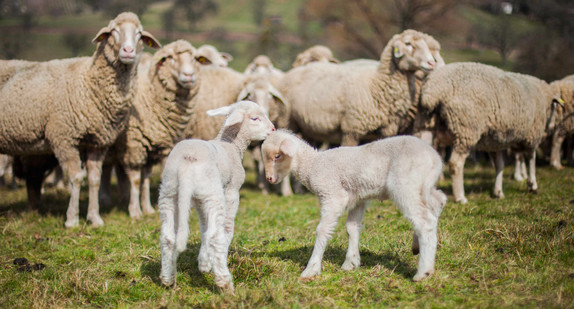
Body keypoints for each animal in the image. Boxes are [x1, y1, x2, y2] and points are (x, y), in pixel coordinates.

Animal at [0, 12, 161, 226]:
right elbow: (76, 177)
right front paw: (72, 219)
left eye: (139, 33)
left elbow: (94, 179)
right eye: (113, 31)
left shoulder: (98, 142)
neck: (88, 82)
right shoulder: (63, 138)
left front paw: (94, 218)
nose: (128, 51)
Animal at [104, 39, 202, 218]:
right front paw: (135, 211)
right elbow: (136, 179)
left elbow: (146, 178)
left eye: (194, 59)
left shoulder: (152, 147)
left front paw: (148, 208)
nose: (189, 75)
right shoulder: (134, 144)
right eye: (170, 58)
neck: (151, 96)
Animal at [264, 130, 448, 282]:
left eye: (277, 156)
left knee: (425, 221)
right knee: (438, 202)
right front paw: (350, 263)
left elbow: (322, 230)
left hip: (404, 184)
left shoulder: (333, 195)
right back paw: (418, 246)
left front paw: (311, 269)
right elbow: (352, 227)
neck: (312, 164)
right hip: (422, 186)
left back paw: (423, 272)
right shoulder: (358, 197)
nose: (269, 179)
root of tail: (434, 159)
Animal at [282, 29, 438, 146]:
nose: (431, 63)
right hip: (289, 120)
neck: (377, 85)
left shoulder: (388, 130)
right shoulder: (352, 129)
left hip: (309, 128)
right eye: (408, 43)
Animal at [416, 61, 564, 203]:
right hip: (466, 129)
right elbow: (531, 159)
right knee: (456, 164)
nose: (551, 127)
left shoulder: (495, 143)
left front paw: (498, 192)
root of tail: (433, 90)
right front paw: (532, 185)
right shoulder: (532, 135)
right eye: (555, 107)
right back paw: (460, 198)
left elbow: (499, 165)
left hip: (426, 125)